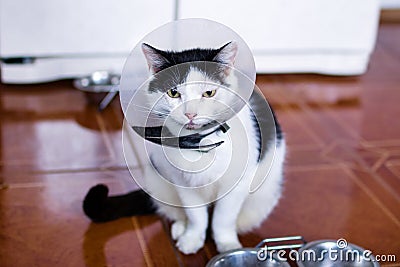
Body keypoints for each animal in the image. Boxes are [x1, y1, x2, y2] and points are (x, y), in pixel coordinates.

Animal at [83, 41, 286, 255]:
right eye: (173, 93)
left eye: (209, 93)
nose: (190, 114)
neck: (200, 142)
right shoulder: (183, 184)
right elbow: (197, 215)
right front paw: (192, 238)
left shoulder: (236, 184)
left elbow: (223, 218)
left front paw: (227, 245)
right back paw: (181, 228)